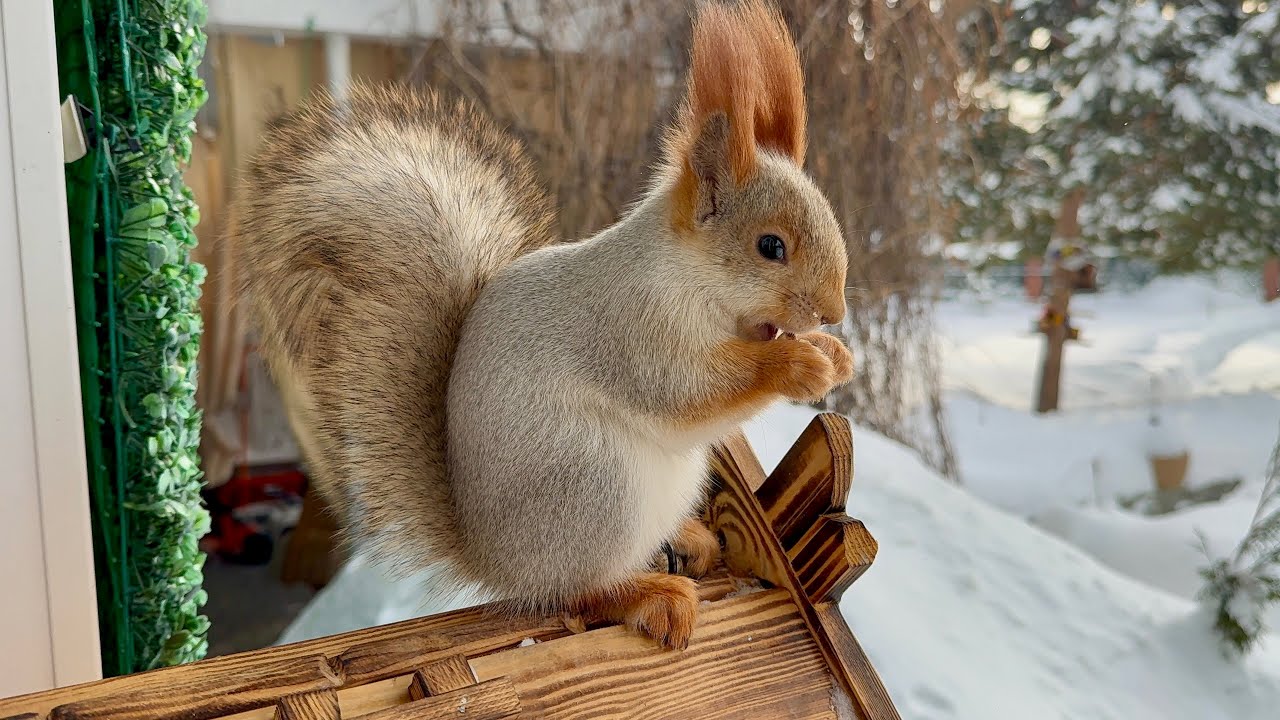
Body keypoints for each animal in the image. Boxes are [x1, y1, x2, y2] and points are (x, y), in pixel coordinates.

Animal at [232, 0, 852, 650]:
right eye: (770, 246)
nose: (833, 312)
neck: (694, 282)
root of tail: (497, 563)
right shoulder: (629, 329)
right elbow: (686, 391)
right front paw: (798, 364)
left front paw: (832, 354)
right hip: (597, 487)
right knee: (576, 592)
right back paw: (648, 594)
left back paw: (689, 538)